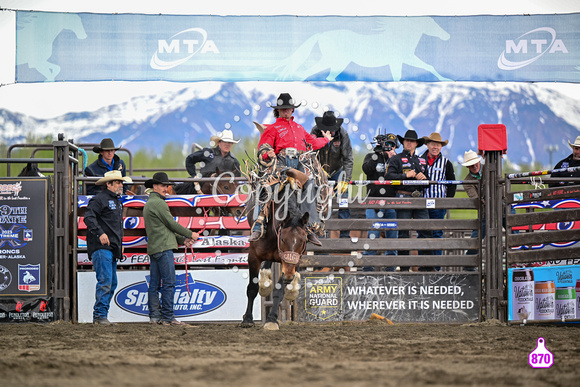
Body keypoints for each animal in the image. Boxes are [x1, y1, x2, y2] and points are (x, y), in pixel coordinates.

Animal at [239, 186, 308, 332]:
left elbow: (279, 290)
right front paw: (247, 319)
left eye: (303, 240)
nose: (289, 275)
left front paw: (272, 320)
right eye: (282, 239)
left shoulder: (291, 263)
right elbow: (252, 288)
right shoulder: (253, 257)